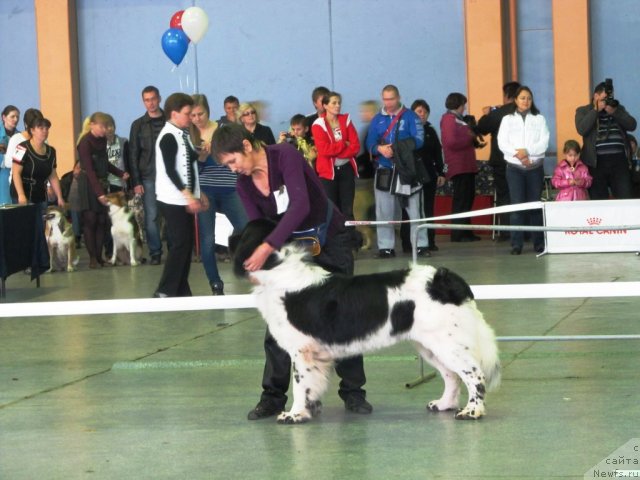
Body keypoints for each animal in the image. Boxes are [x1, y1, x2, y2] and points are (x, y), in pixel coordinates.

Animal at [232, 219, 502, 426]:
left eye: (242, 231)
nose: (229, 237)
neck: (279, 272)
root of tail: (444, 279)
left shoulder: (302, 351)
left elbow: (299, 385)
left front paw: (295, 414)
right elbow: (311, 385)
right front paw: (310, 409)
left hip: (447, 343)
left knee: (474, 375)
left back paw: (472, 411)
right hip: (430, 346)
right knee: (451, 375)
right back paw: (444, 404)